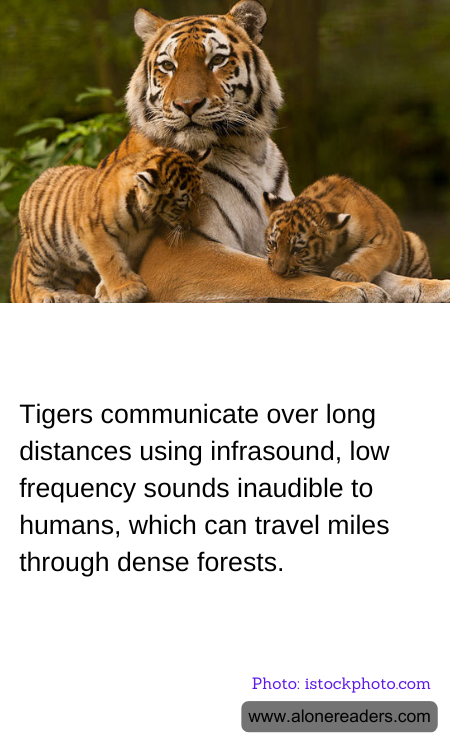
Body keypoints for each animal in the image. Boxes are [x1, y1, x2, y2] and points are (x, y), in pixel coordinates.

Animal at [18, 147, 210, 303]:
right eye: (183, 203)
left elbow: (124, 260)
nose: (197, 224)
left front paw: (107, 291)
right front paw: (127, 290)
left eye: (200, 196)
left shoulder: (138, 240)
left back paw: (76, 298)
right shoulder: (94, 231)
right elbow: (110, 259)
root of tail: (36, 181)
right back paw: (46, 295)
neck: (141, 217)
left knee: (62, 280)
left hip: (70, 258)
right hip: (43, 250)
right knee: (34, 278)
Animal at [263, 175, 432, 284]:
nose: (278, 272)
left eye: (297, 249)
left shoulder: (385, 239)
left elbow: (370, 256)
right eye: (273, 244)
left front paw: (347, 273)